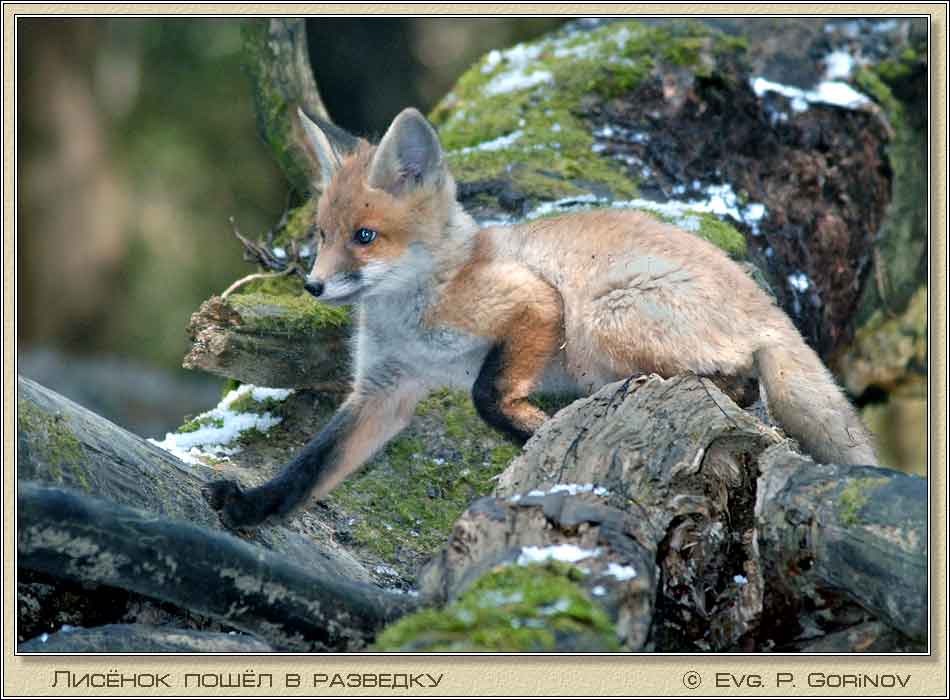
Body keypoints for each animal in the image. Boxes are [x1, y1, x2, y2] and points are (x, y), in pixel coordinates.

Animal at [204, 106, 878, 529]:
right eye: (321, 235)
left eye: (364, 237)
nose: (313, 285)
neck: (416, 315)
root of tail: (768, 305)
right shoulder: (383, 390)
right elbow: (311, 465)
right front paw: (252, 507)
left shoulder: (533, 303)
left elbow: (486, 393)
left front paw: (533, 431)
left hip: (602, 318)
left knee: (736, 382)